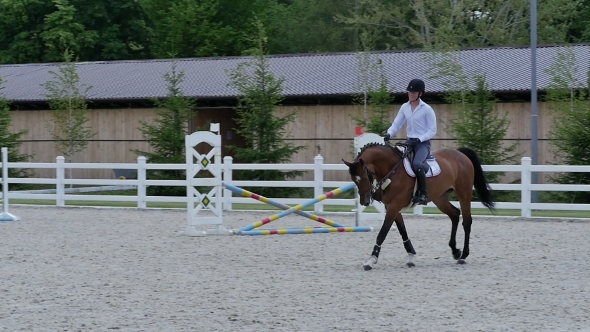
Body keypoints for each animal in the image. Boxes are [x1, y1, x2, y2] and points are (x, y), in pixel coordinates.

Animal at [344, 142, 498, 270]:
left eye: (364, 177)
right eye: (354, 180)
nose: (364, 201)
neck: (393, 170)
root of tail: (460, 154)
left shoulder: (394, 207)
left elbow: (382, 234)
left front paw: (371, 260)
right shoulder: (393, 208)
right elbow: (403, 231)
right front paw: (411, 256)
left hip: (464, 194)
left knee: (466, 221)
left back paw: (464, 255)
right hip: (440, 198)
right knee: (454, 214)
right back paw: (455, 251)